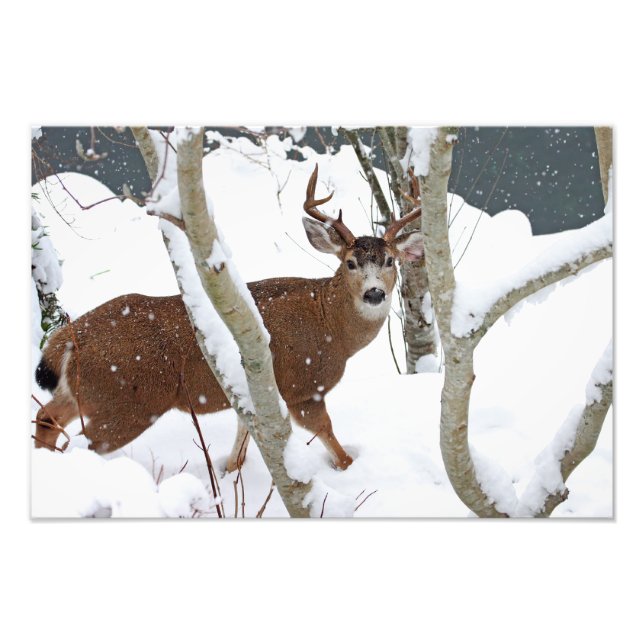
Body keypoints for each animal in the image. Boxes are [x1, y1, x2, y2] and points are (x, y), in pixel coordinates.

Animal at [34, 164, 424, 472]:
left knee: (46, 417)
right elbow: (329, 436)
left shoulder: (253, 392)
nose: (374, 293)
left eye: (390, 261)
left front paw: (230, 473)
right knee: (80, 444)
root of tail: (65, 340)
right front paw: (349, 469)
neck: (331, 327)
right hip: (128, 402)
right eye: (350, 263)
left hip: (83, 394)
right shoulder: (302, 387)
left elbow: (241, 443)